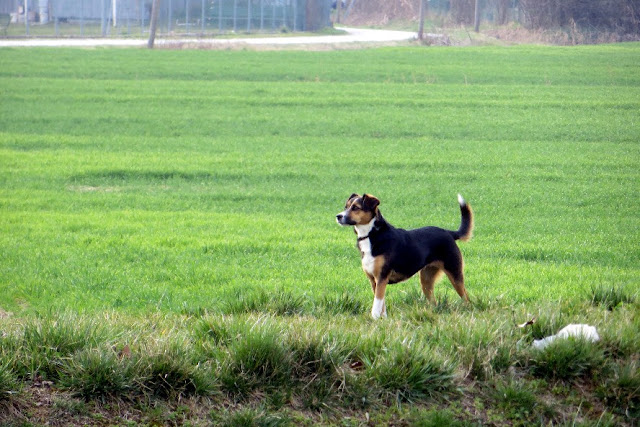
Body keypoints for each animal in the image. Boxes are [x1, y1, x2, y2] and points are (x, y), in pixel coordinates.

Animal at [338, 194, 472, 318]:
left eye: (356, 207)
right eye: (346, 207)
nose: (338, 216)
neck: (372, 234)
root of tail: (449, 233)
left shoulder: (381, 277)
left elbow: (376, 305)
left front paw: (374, 319)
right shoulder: (374, 281)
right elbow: (382, 305)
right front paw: (383, 319)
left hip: (455, 274)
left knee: (467, 298)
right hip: (426, 280)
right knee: (434, 302)